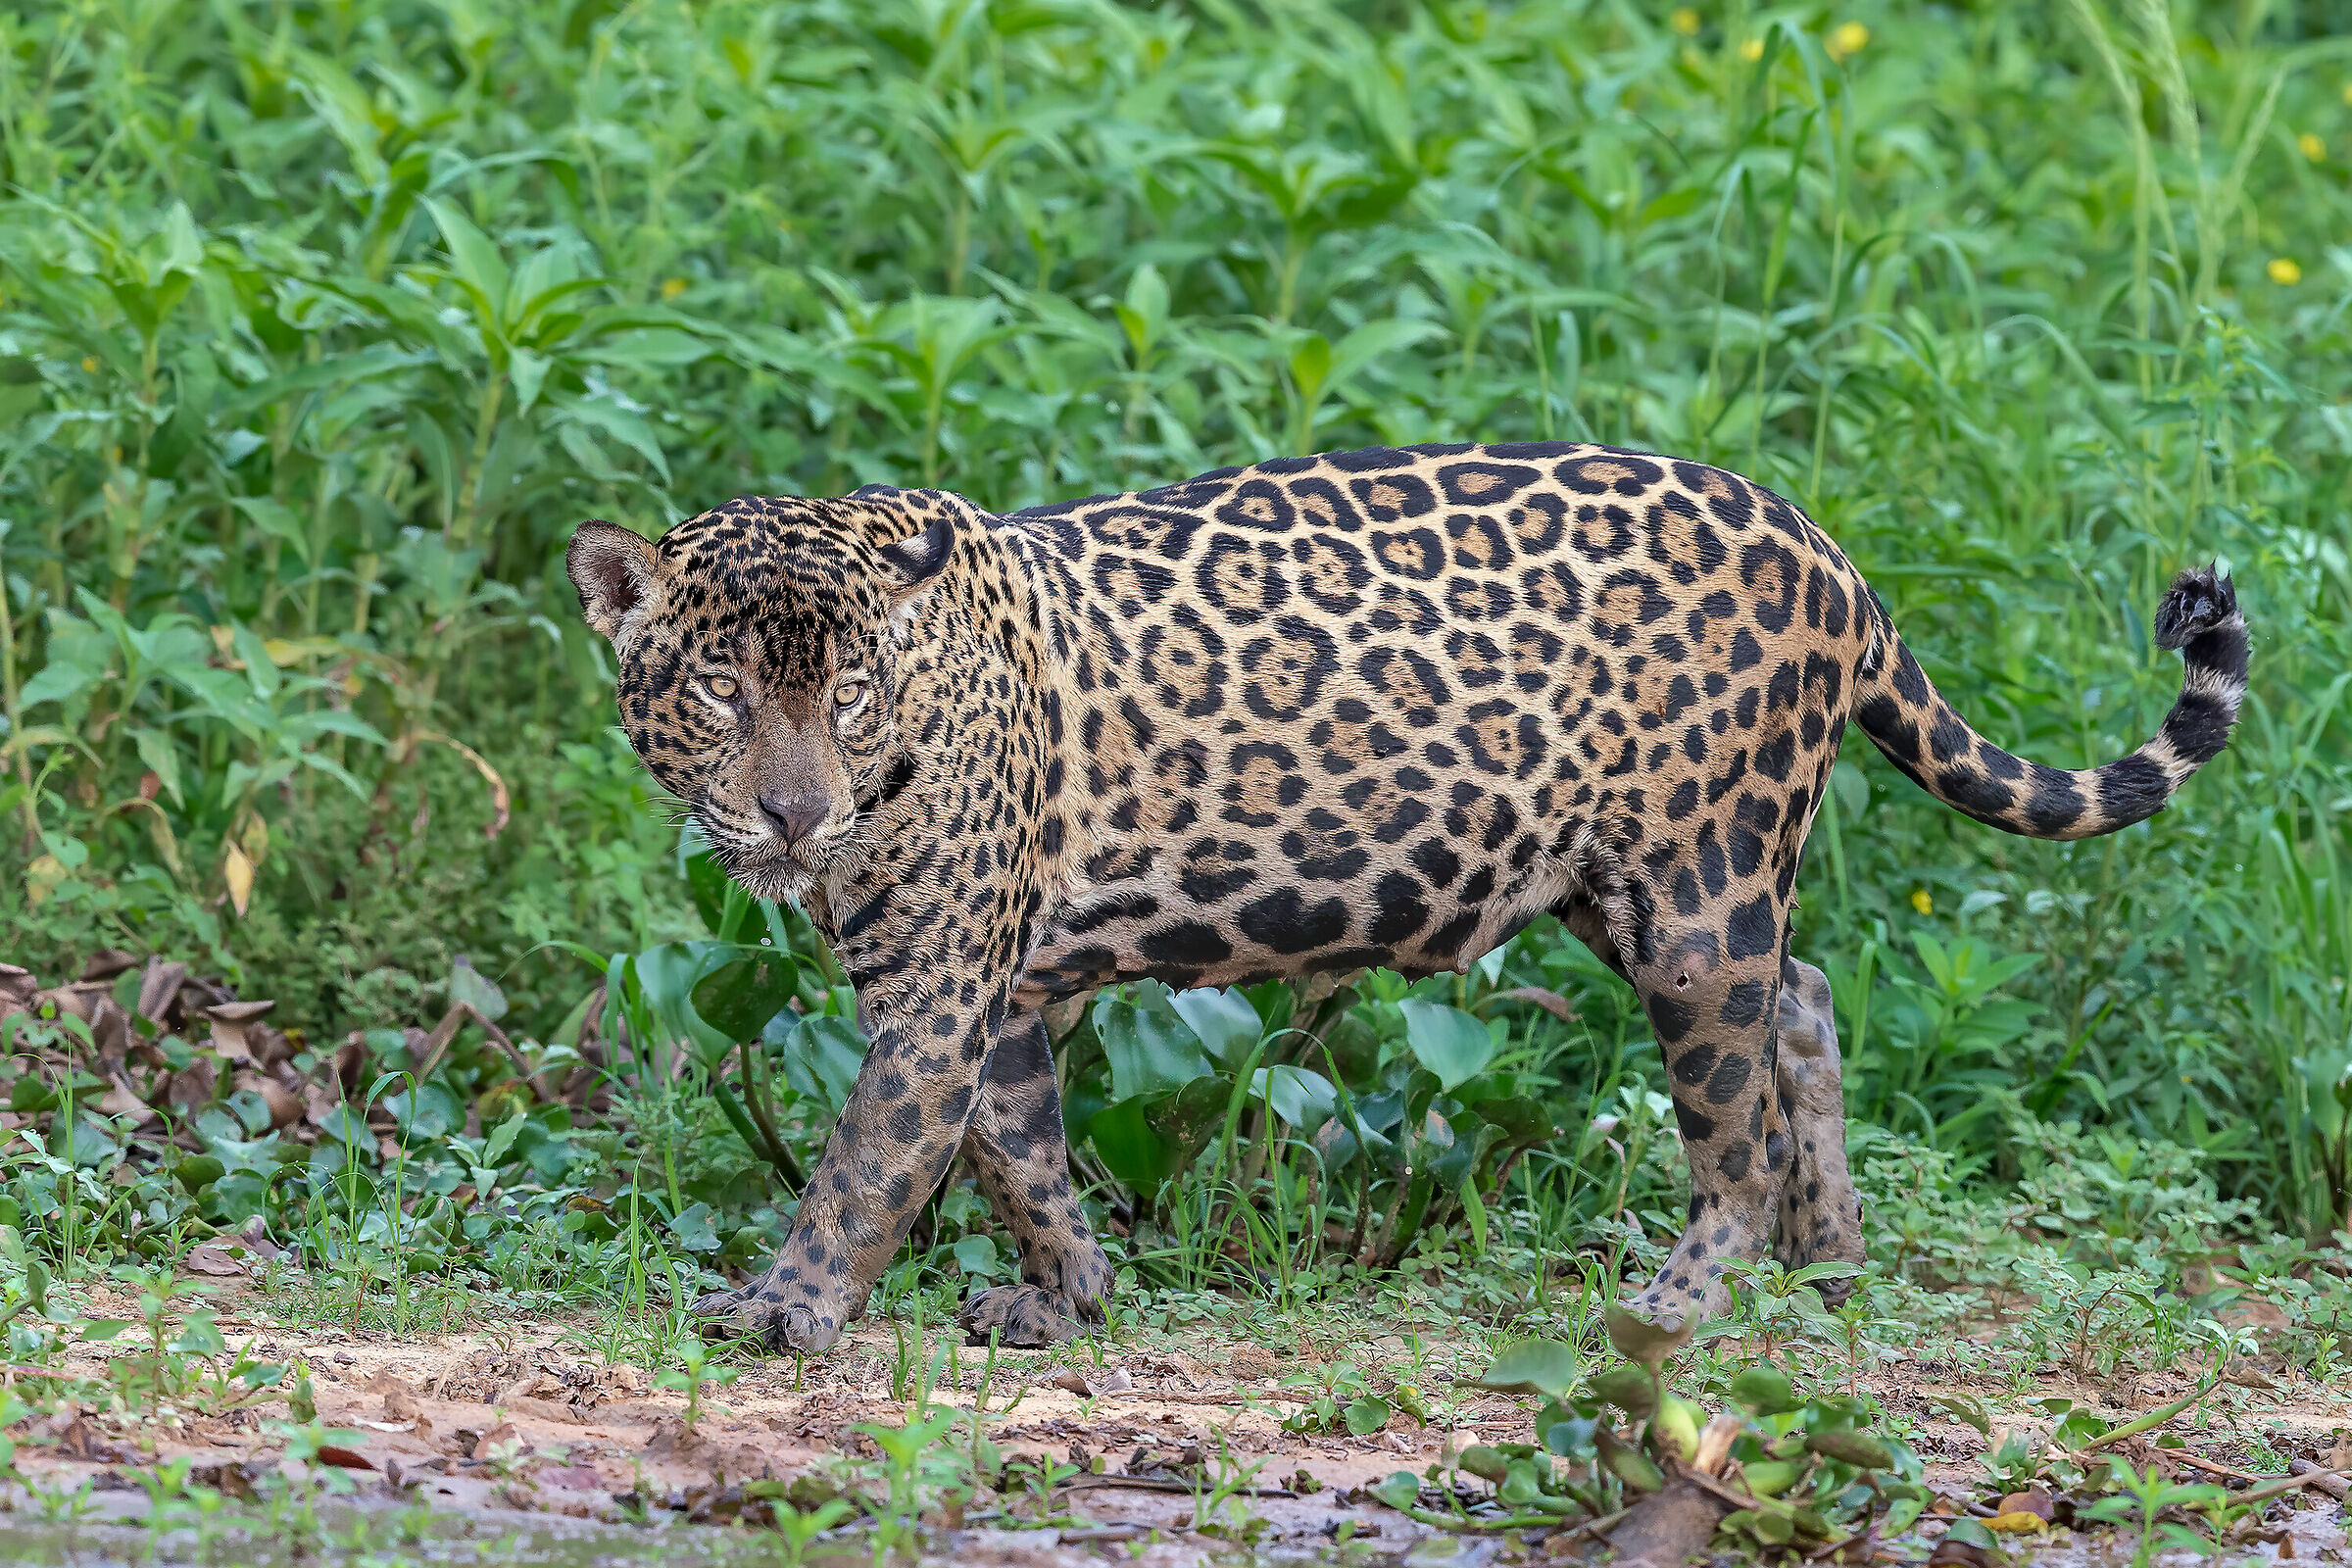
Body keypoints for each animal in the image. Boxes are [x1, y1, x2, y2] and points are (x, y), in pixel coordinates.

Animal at [566, 441, 2247, 1356]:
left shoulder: (936, 985)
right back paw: (1829, 1260)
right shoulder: (994, 983)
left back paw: (1688, 1299)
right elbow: (1016, 1148)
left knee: (1735, 1130)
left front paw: (782, 1310)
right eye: (721, 691)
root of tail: (1826, 549)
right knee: (1809, 1003)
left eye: (847, 699)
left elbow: (870, 1161)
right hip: (1629, 887)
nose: (797, 814)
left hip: (1695, 895)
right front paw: (1073, 1298)